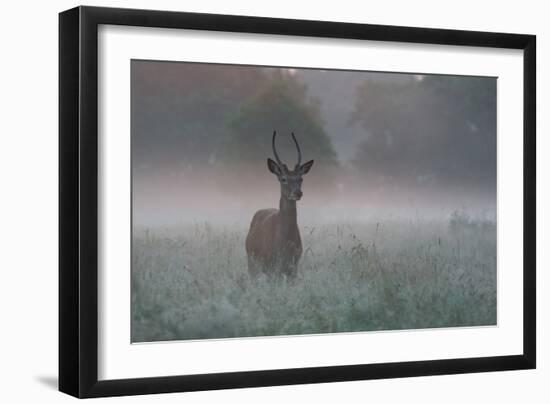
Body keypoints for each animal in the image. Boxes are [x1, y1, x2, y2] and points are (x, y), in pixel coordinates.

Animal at [246, 131, 314, 280]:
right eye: (283, 179)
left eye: (300, 178)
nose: (298, 192)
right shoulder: (272, 266)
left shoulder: (294, 266)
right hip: (252, 262)